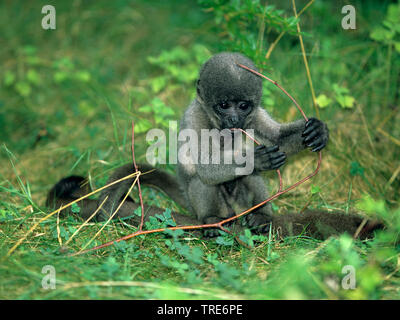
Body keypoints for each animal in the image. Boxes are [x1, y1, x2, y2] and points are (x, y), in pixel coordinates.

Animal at [46, 51, 382, 239]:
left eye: (243, 105)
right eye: (223, 104)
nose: (233, 117)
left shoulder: (256, 115)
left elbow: (276, 139)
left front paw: (317, 132)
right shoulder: (195, 117)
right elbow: (206, 169)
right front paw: (255, 159)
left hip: (240, 206)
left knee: (249, 184)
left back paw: (262, 217)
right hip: (212, 206)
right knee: (201, 180)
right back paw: (209, 220)